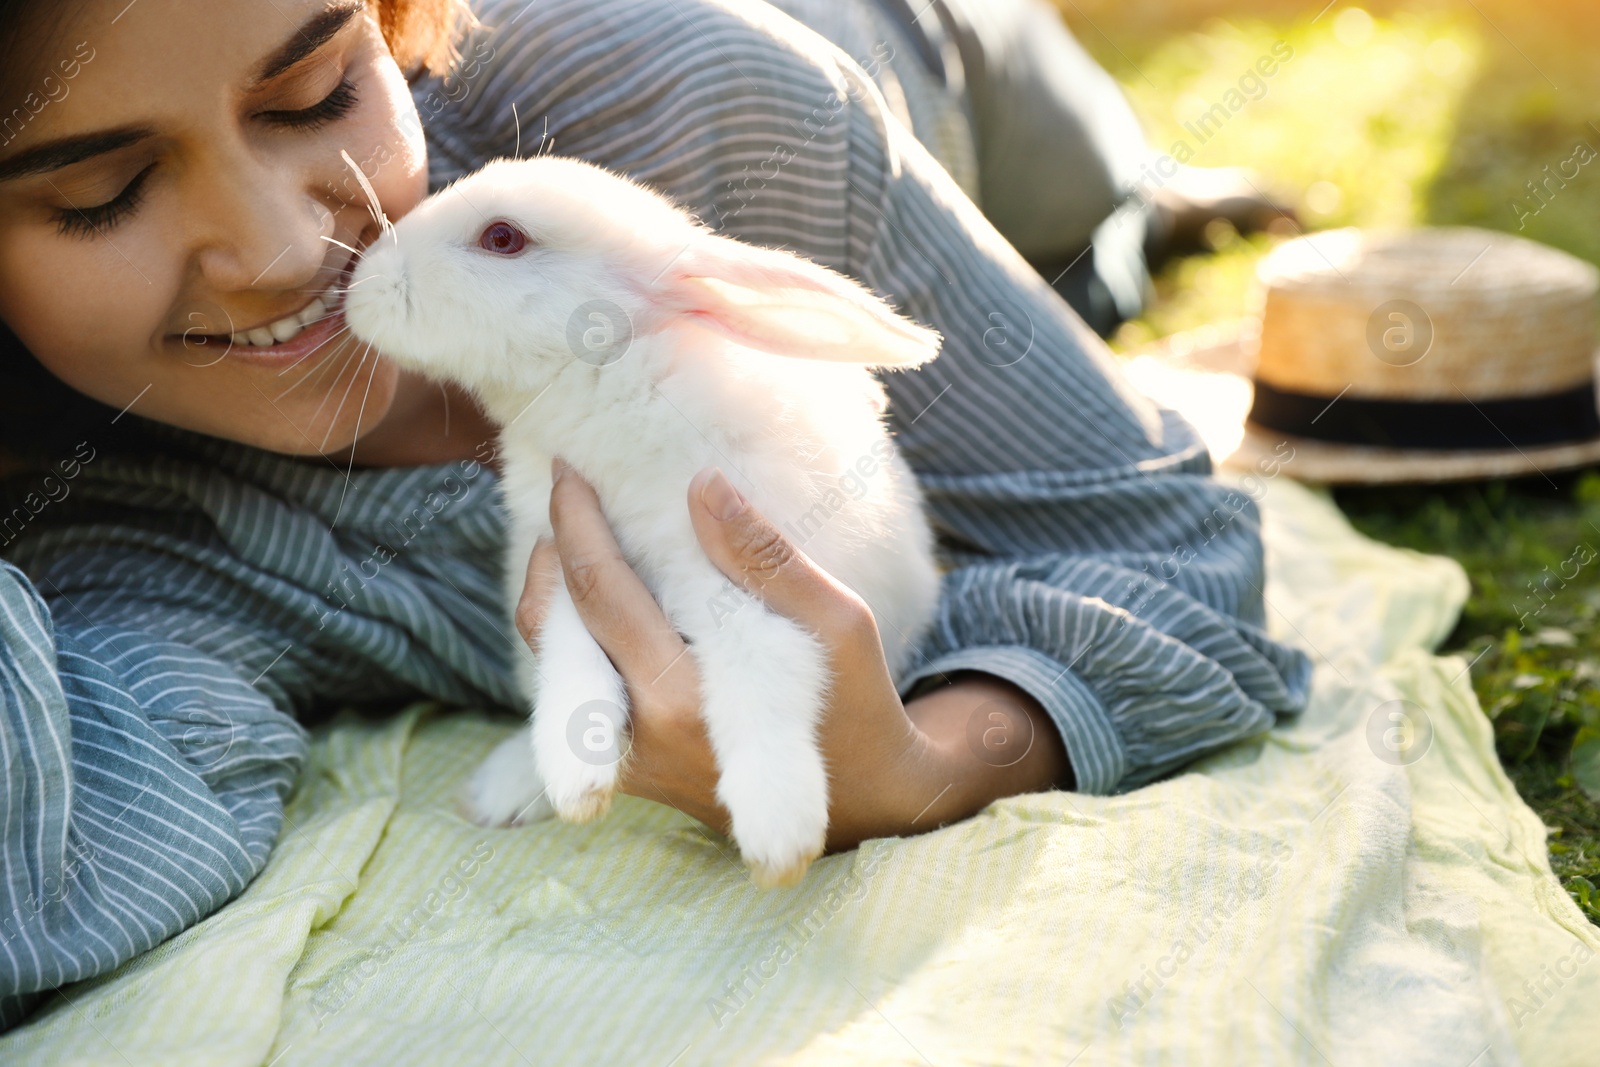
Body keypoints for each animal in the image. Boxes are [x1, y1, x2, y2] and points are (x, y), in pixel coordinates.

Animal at [337, 154, 934, 889]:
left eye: (502, 238)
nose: (360, 283)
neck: (610, 383)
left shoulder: (741, 586)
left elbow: (761, 677)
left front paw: (778, 828)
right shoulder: (562, 561)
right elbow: (572, 655)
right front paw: (575, 778)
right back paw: (503, 789)